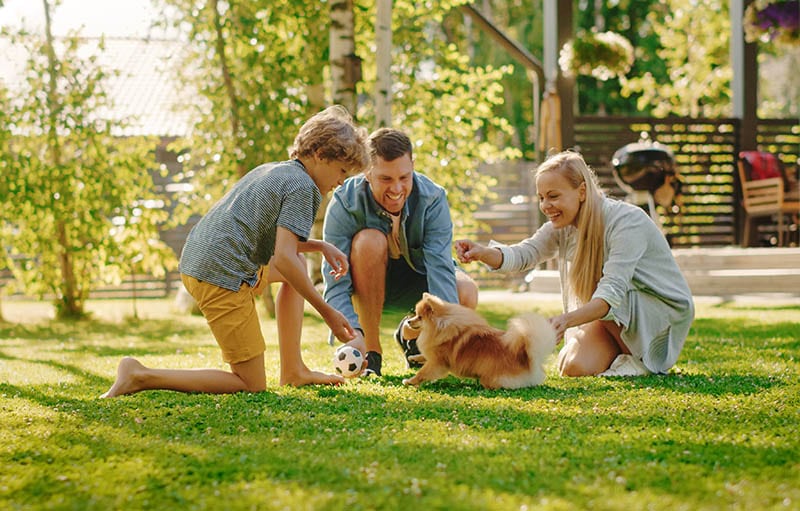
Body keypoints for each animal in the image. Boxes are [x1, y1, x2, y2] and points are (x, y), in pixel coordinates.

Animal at [400, 294, 556, 390]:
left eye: (419, 317)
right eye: (416, 315)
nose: (408, 321)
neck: (441, 326)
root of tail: (527, 360)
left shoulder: (438, 363)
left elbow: (423, 373)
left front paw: (410, 381)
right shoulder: (433, 354)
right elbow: (423, 356)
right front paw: (413, 357)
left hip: (491, 378)